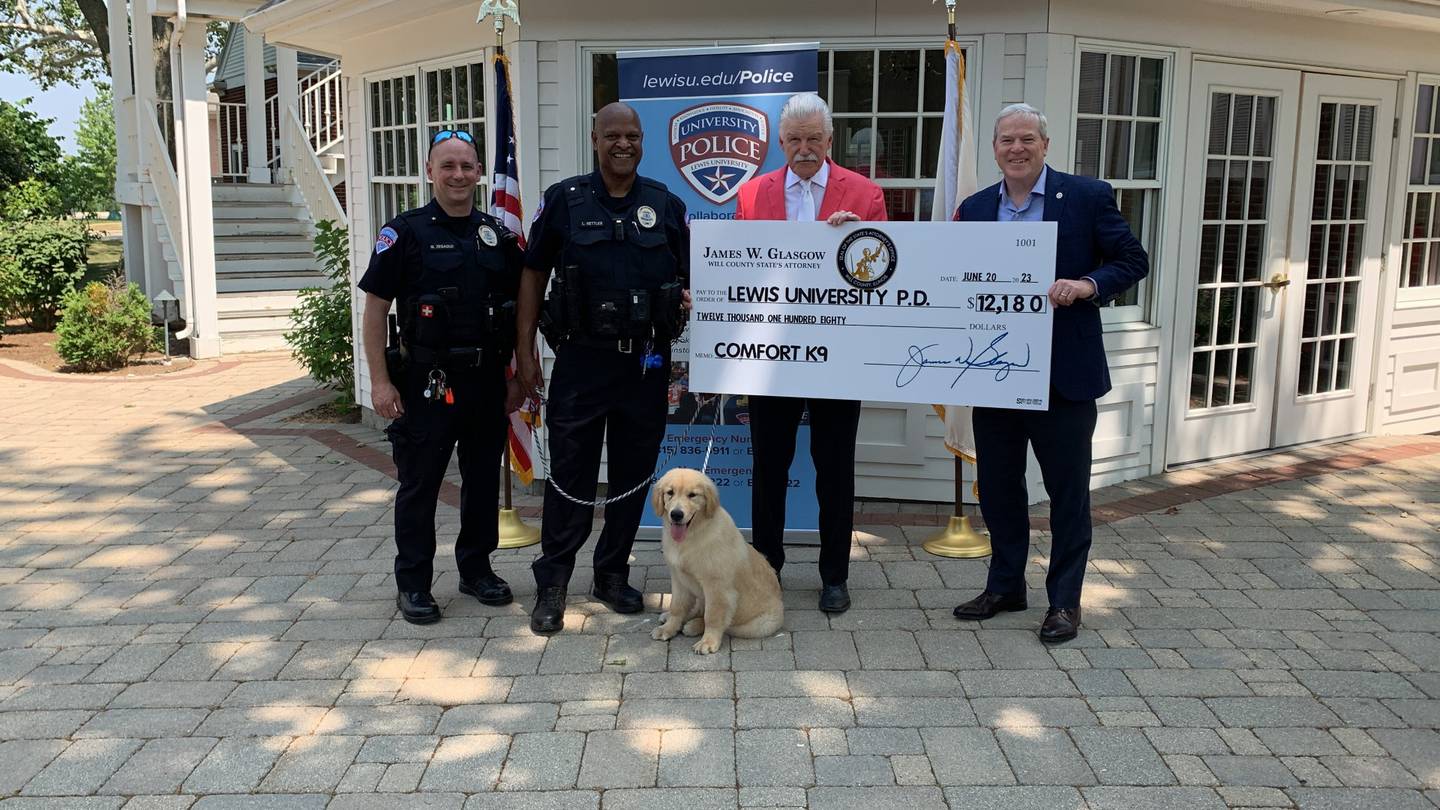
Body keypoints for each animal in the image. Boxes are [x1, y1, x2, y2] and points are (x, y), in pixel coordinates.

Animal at [656, 466, 789, 648]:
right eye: (670, 492)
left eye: (692, 495)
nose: (676, 514)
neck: (693, 534)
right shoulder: (679, 578)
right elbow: (677, 606)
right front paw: (669, 628)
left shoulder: (717, 587)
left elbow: (713, 616)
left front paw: (708, 642)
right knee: (697, 607)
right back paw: (670, 616)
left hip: (756, 625)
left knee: (726, 624)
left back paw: (694, 626)